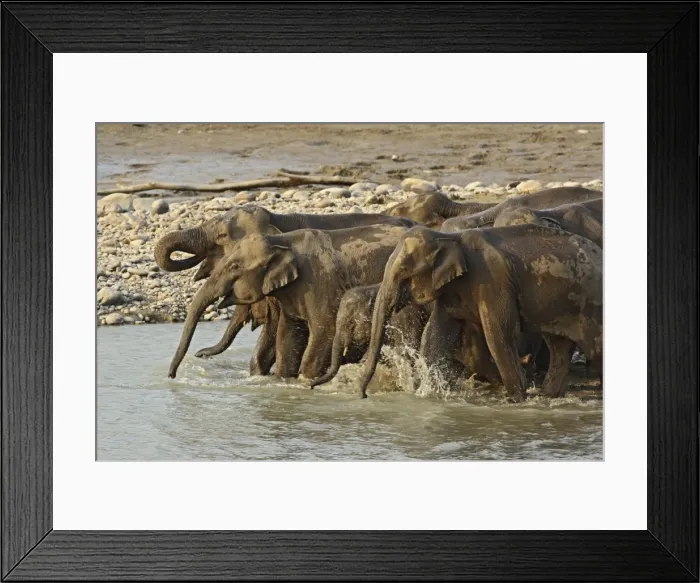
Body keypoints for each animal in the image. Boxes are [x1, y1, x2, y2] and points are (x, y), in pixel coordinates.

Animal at [358, 224, 603, 401]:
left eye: (403, 271)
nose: (363, 395)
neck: (449, 237)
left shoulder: (492, 282)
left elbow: (498, 333)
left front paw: (516, 400)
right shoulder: (453, 290)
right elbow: (435, 335)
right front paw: (428, 394)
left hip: (591, 302)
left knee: (593, 347)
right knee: (559, 347)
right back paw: (549, 396)